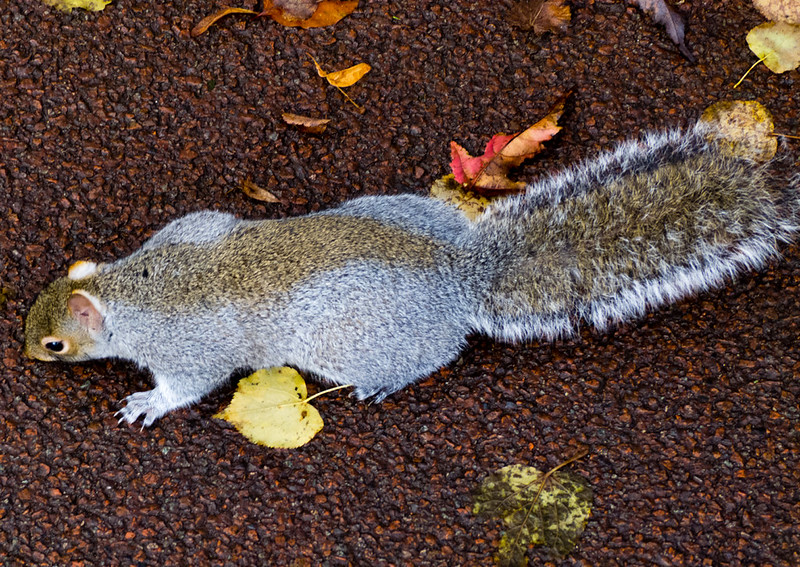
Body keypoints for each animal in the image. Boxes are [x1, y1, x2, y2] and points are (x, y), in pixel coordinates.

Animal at [24, 122, 800, 427]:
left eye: (54, 342)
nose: (26, 352)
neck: (134, 286)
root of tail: (459, 275)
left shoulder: (190, 347)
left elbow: (188, 384)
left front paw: (146, 402)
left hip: (359, 341)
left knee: (435, 356)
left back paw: (383, 382)